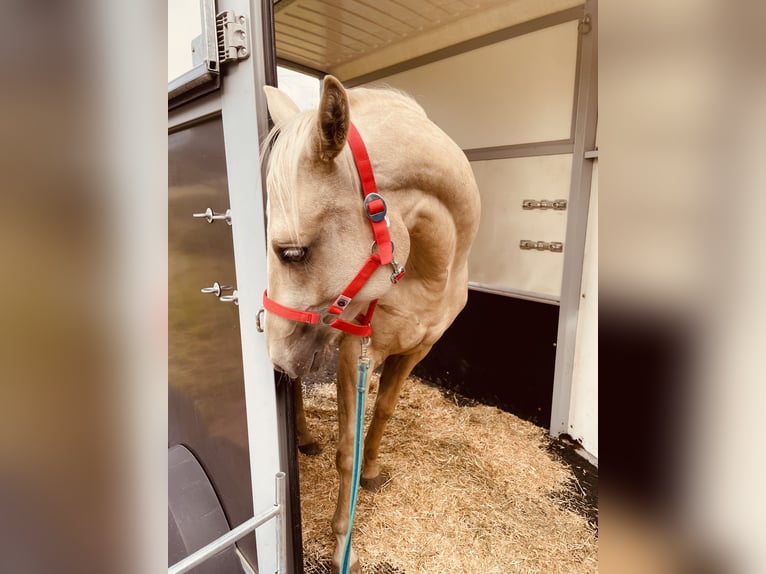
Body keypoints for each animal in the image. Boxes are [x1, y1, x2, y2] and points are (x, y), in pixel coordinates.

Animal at [262, 77, 480, 574]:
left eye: (293, 253)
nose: (274, 352)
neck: (429, 273)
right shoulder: (352, 355)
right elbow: (347, 450)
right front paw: (344, 541)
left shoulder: (416, 351)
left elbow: (383, 411)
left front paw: (375, 472)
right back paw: (305, 440)